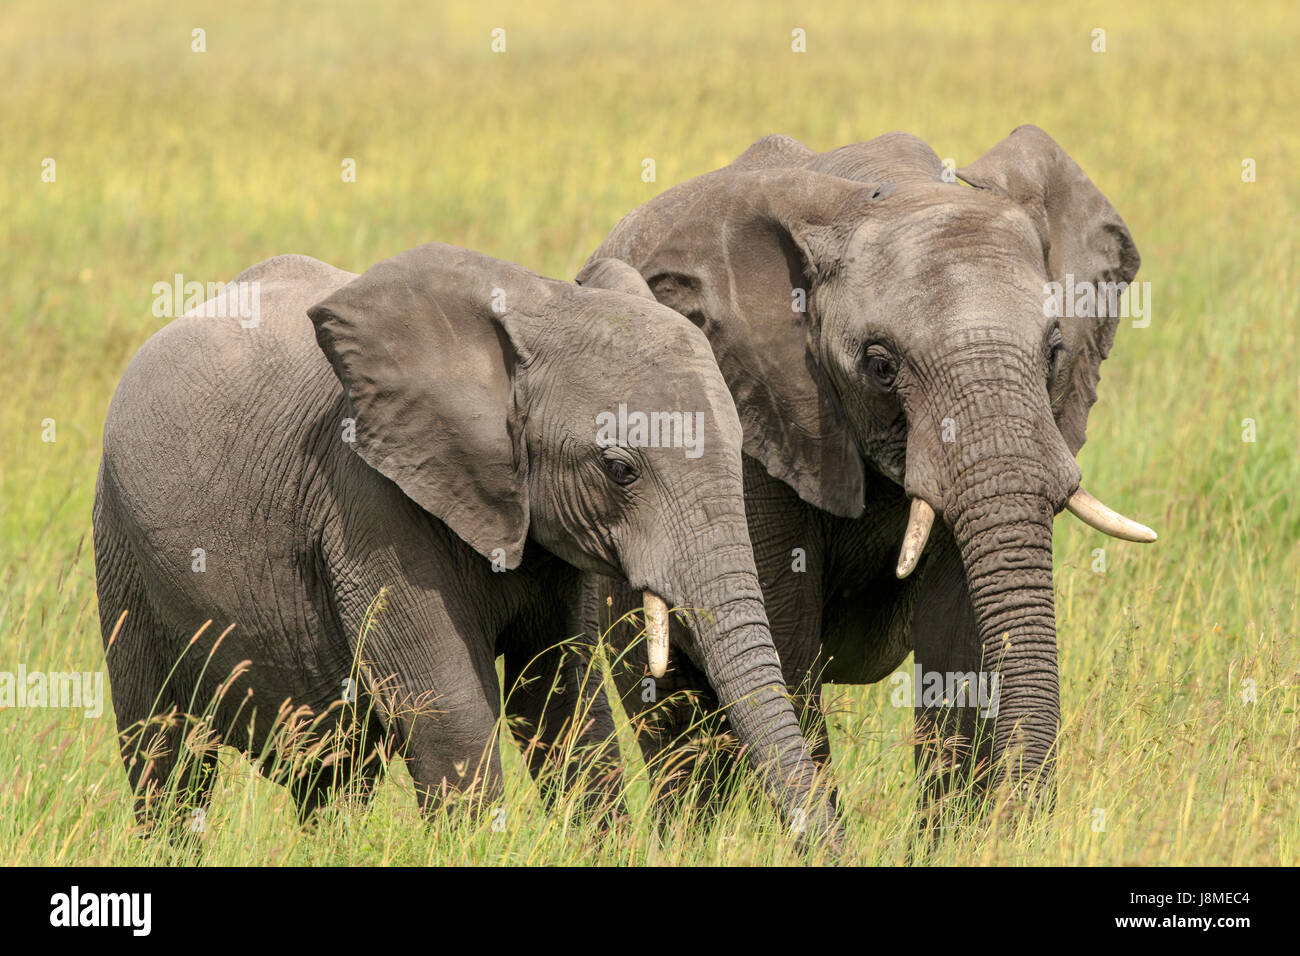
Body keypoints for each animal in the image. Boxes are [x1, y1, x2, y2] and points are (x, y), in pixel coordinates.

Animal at [94, 240, 842, 842]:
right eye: (620, 469)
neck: (537, 306)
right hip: (119, 544)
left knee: (334, 772)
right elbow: (451, 709)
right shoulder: (369, 501)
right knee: (165, 757)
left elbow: (565, 702)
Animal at [579, 125, 1159, 816]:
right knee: (671, 718)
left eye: (1054, 352)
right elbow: (784, 646)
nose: (1022, 816)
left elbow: (955, 645)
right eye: (881, 366)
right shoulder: (750, 420)